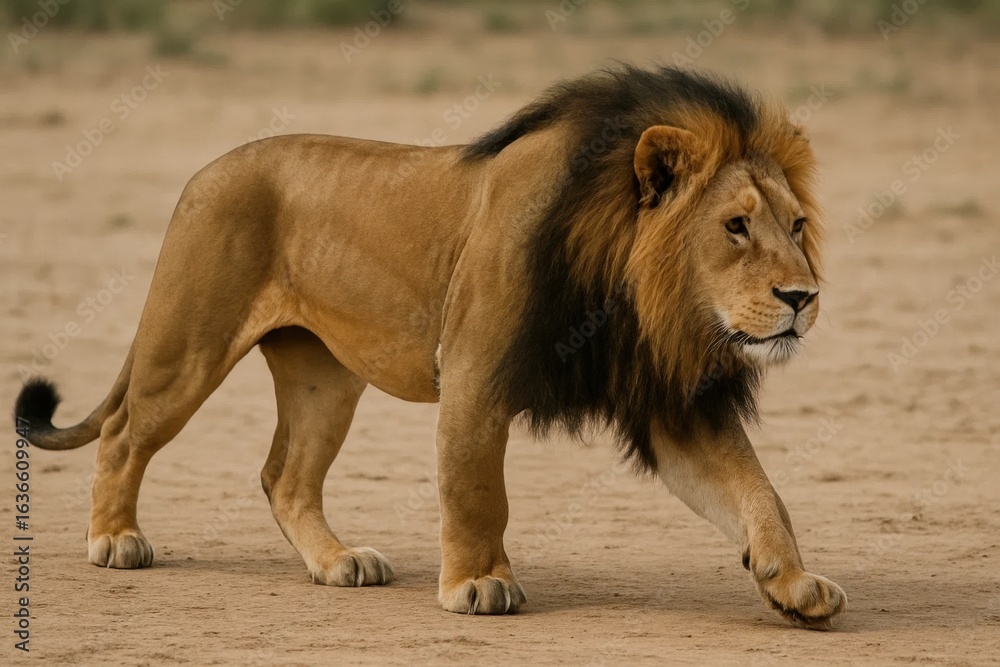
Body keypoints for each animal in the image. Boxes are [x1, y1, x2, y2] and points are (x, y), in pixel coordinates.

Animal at [15, 65, 846, 629]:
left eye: (796, 224)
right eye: (735, 226)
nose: (803, 298)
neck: (627, 284)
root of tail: (208, 168)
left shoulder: (667, 400)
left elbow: (756, 488)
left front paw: (791, 582)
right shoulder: (475, 368)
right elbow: (477, 487)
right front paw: (478, 584)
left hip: (325, 378)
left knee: (285, 474)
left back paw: (337, 561)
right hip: (189, 342)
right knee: (125, 433)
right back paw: (115, 538)